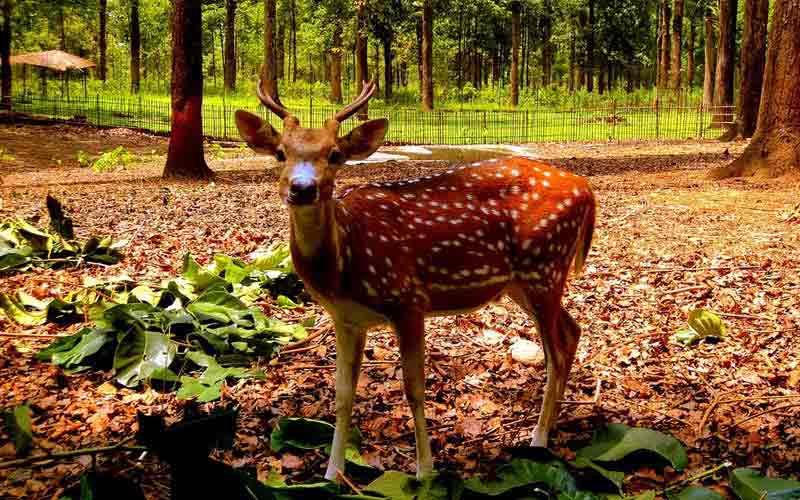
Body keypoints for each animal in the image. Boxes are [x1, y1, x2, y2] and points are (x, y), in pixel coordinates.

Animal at [233, 81, 592, 480]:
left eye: (335, 154)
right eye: (281, 153)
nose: (302, 188)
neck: (344, 264)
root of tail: (586, 188)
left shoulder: (408, 299)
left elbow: (414, 389)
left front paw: (424, 472)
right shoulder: (346, 318)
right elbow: (342, 395)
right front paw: (332, 474)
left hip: (544, 266)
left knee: (556, 352)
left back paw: (539, 439)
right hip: (523, 283)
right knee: (572, 332)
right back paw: (551, 427)